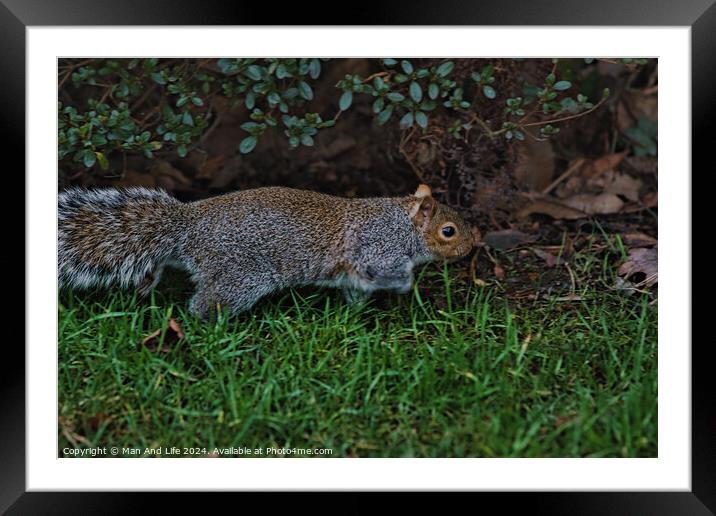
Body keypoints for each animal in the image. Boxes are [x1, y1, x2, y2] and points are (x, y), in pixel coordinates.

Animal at [58, 183, 472, 316]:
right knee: (203, 303)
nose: (474, 244)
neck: (402, 223)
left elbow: (355, 292)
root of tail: (187, 227)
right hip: (242, 276)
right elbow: (385, 273)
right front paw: (406, 285)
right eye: (448, 231)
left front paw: (354, 314)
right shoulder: (377, 248)